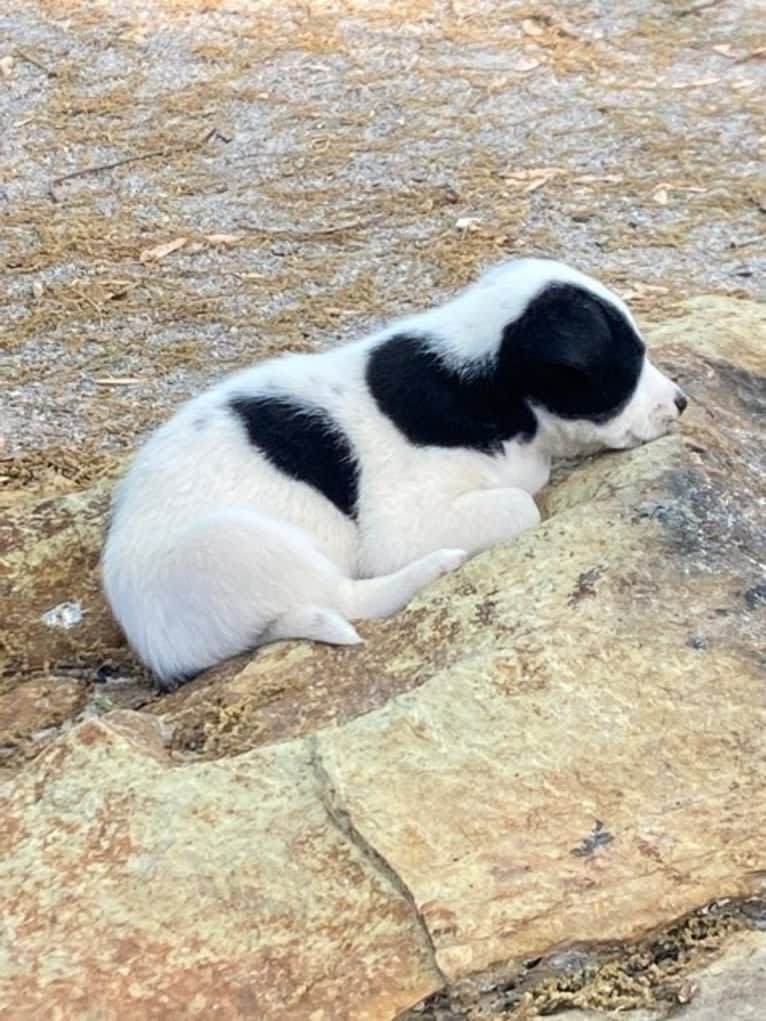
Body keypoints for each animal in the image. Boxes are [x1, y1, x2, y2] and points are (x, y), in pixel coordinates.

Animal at [103, 255, 690, 690]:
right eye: (626, 368)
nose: (682, 402)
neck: (482, 386)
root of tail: (156, 646)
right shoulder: (399, 525)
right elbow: (521, 503)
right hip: (236, 543)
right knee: (346, 599)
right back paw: (432, 569)